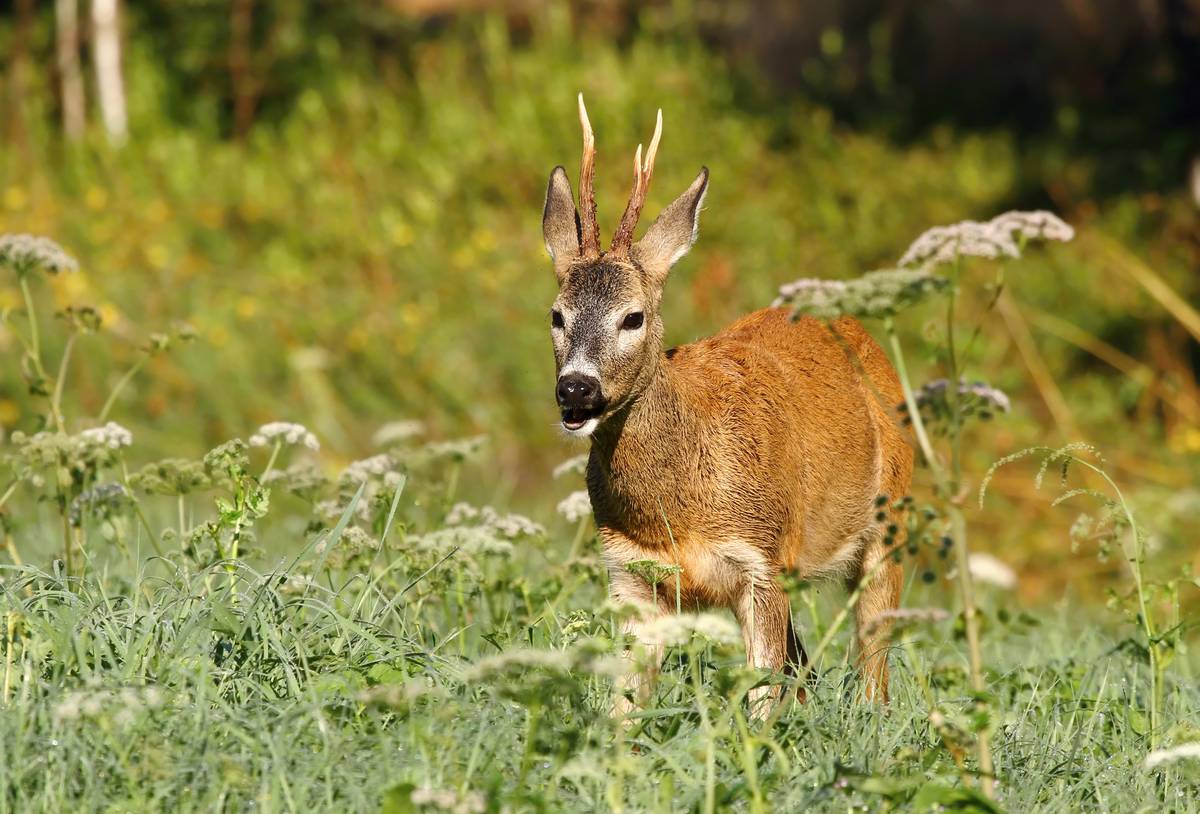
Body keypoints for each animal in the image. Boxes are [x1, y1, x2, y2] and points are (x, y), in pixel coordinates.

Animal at [540, 94, 912, 705]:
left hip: (891, 523)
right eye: (557, 315)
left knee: (872, 666)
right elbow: (625, 702)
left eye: (633, 317)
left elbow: (761, 693)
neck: (679, 508)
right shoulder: (629, 574)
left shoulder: (762, 560)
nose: (576, 386)